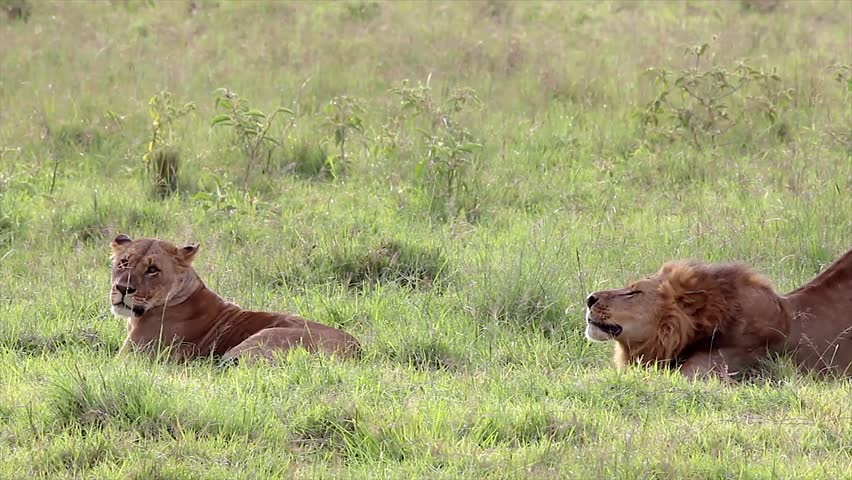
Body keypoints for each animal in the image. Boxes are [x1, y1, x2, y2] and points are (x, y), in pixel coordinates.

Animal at [109, 234, 360, 362]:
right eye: (124, 262)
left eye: (153, 270)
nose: (122, 288)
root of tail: (357, 349)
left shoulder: (131, 359)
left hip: (261, 339)